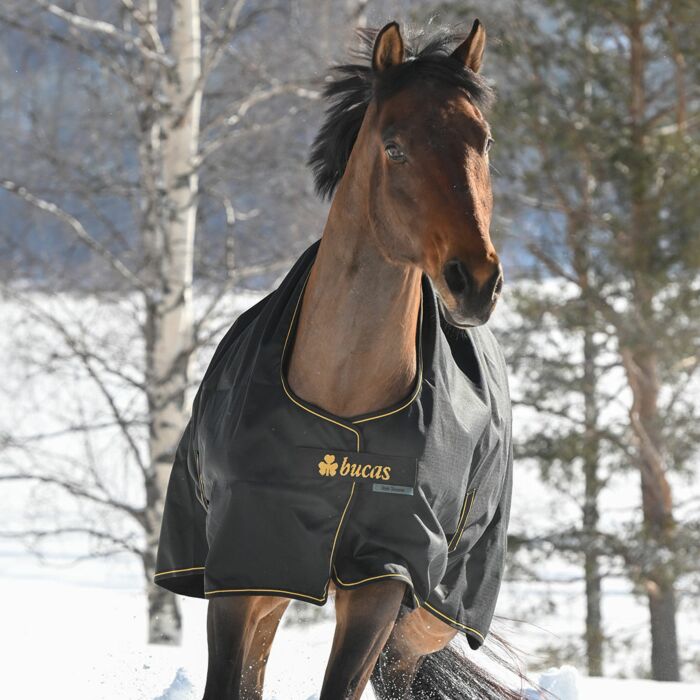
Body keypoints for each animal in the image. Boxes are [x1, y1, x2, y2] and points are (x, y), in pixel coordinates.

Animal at [155, 18, 518, 700]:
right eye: (395, 147)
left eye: (482, 141)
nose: (475, 281)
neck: (345, 400)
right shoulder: (247, 564)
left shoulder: (384, 574)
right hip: (276, 589)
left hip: (432, 616)